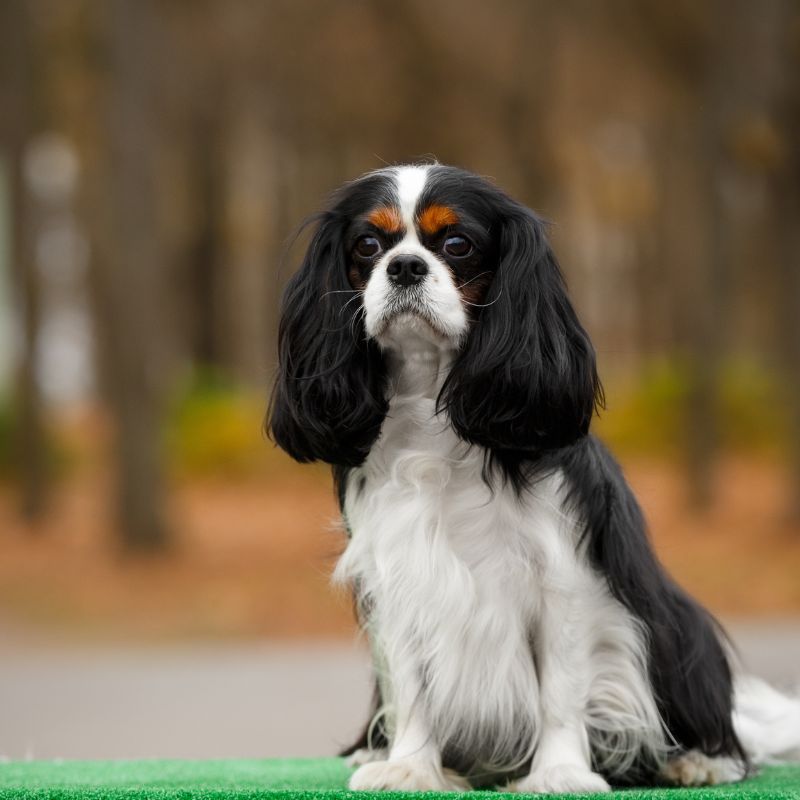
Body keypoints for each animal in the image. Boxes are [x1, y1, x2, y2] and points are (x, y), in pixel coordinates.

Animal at [270, 166, 800, 792]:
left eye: (457, 244)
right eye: (368, 246)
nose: (404, 266)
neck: (432, 399)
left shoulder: (565, 582)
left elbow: (560, 689)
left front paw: (561, 772)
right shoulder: (401, 577)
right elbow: (413, 685)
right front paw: (410, 767)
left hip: (678, 625)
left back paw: (698, 759)